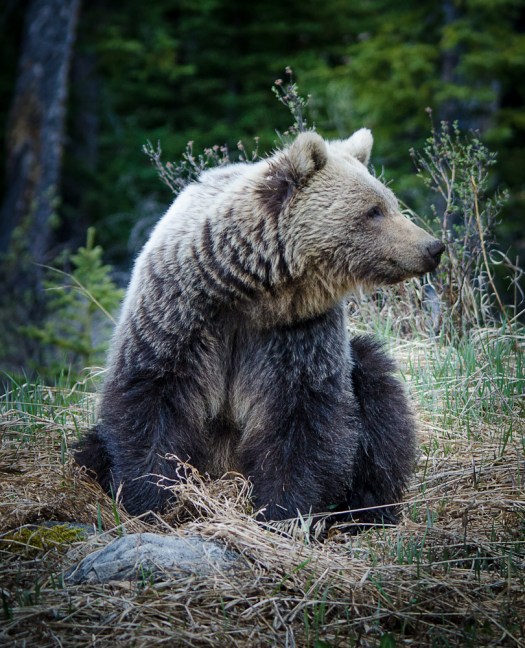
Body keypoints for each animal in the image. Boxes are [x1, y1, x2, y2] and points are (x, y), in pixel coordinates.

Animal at [75, 129, 444, 523]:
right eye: (374, 210)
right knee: (91, 447)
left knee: (378, 395)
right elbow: (152, 397)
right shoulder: (180, 312)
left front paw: (283, 510)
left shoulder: (297, 332)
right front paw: (153, 498)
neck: (251, 289)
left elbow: (302, 414)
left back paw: (365, 510)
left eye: (390, 203)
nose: (432, 246)